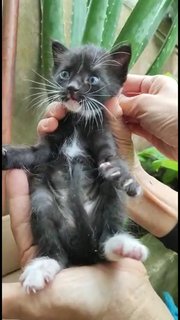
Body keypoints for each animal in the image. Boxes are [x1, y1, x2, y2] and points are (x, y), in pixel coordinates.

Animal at [2, 42, 148, 292]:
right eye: (64, 74)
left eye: (93, 79)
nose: (71, 88)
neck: (78, 122)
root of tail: (82, 252)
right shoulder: (46, 147)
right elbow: (28, 153)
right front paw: (4, 154)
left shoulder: (104, 134)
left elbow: (111, 160)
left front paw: (125, 178)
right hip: (43, 202)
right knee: (56, 248)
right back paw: (43, 266)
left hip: (109, 204)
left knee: (106, 241)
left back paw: (121, 245)